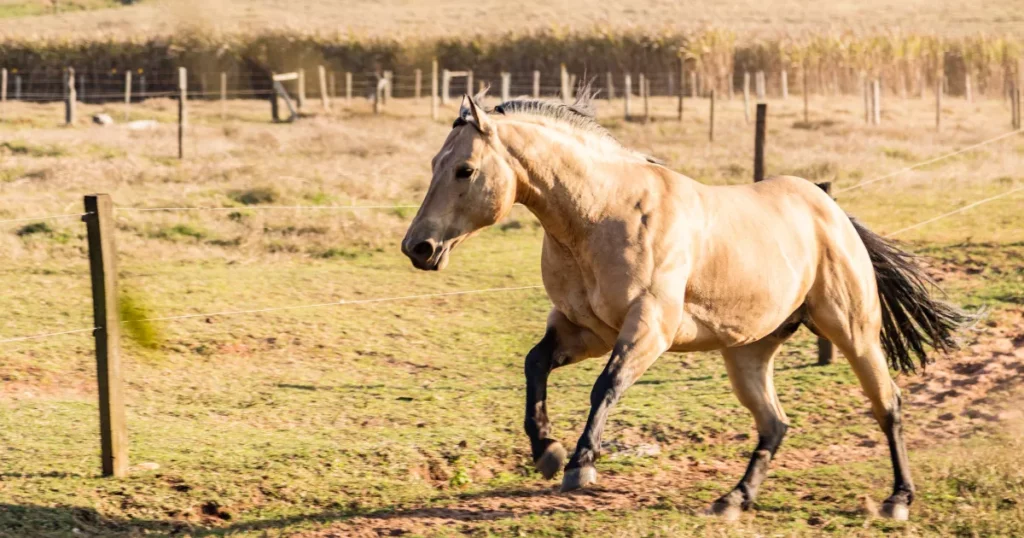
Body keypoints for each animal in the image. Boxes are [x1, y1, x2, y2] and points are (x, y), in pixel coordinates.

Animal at [399, 89, 966, 520]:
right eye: (434, 164)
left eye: (465, 169)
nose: (417, 247)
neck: (600, 215)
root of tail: (830, 209)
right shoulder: (585, 330)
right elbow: (534, 364)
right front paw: (547, 452)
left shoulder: (649, 327)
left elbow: (606, 384)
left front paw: (581, 464)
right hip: (749, 353)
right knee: (775, 423)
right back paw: (734, 500)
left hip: (853, 332)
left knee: (888, 405)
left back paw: (897, 501)